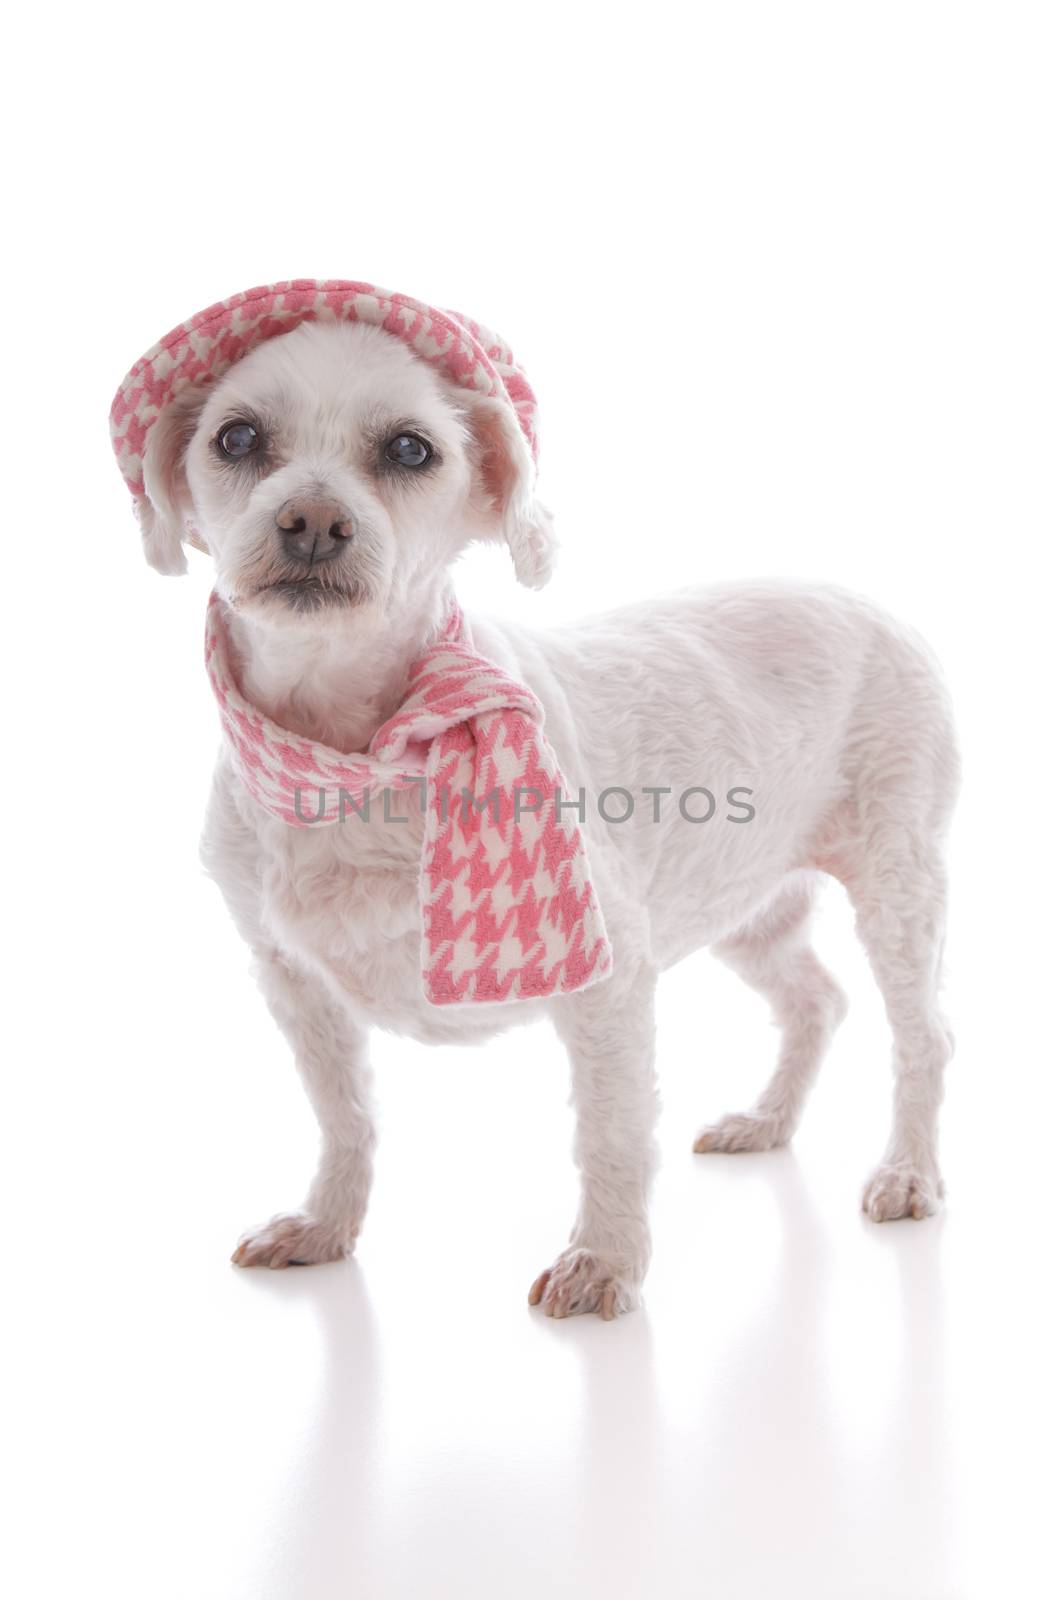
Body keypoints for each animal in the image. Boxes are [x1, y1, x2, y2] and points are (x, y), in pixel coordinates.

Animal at [118, 294, 960, 1318]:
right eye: (236, 437)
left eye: (411, 449)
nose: (312, 518)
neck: (349, 756)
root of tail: (876, 603)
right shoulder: (294, 981)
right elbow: (344, 1115)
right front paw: (325, 1224)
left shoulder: (608, 974)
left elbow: (610, 1132)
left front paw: (605, 1260)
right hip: (746, 903)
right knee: (817, 1001)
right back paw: (767, 1120)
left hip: (897, 885)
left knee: (923, 1035)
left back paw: (909, 1171)